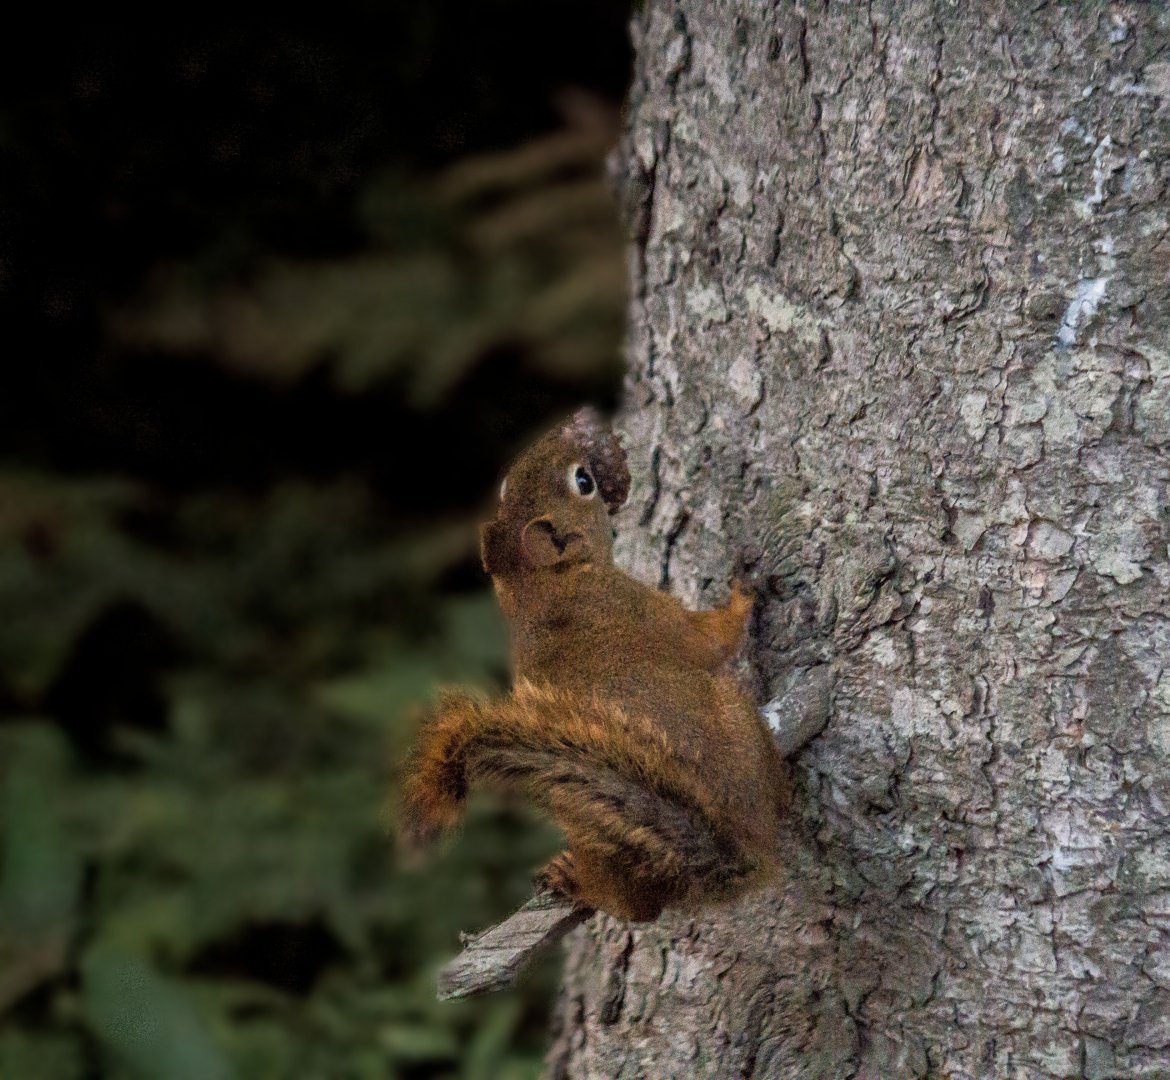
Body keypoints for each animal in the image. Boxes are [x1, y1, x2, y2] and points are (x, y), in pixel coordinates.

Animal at [400, 408, 792, 922]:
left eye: (505, 486)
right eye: (582, 481)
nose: (571, 431)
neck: (540, 588)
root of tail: (732, 855)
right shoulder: (633, 605)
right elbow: (712, 640)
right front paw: (747, 586)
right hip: (737, 718)